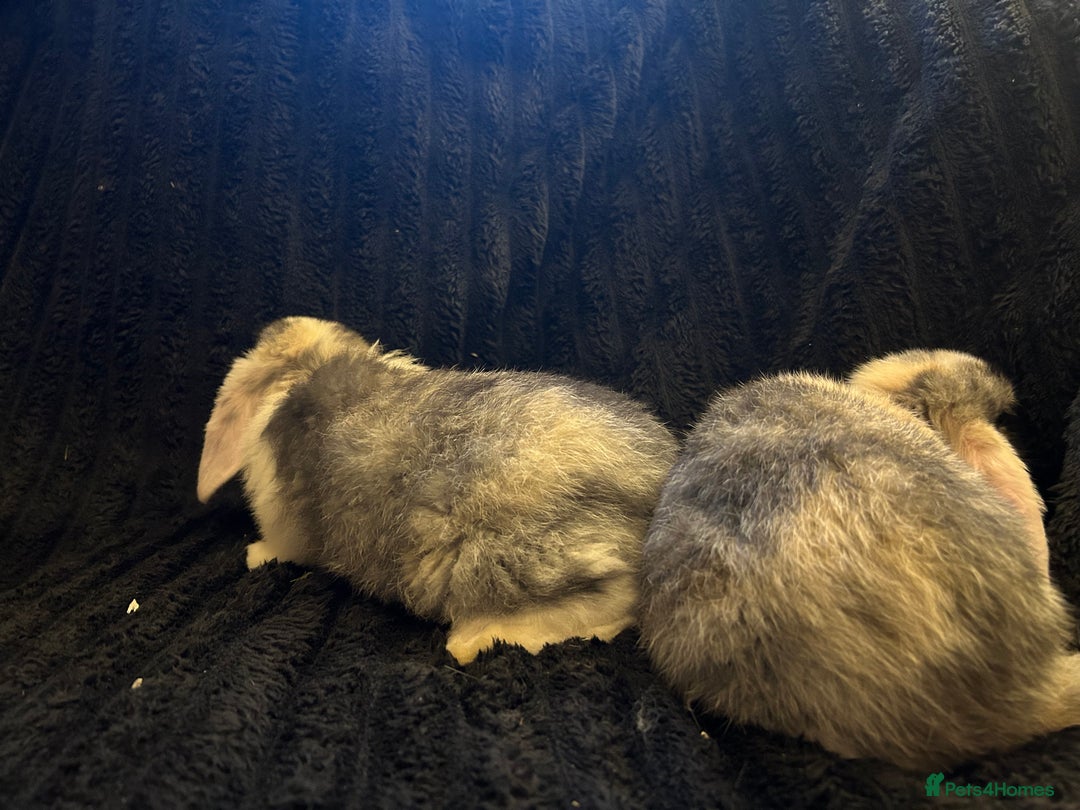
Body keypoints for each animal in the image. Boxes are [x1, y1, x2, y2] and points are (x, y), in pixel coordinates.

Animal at [198, 316, 678, 665]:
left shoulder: (290, 534)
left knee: (617, 597)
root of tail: (655, 482)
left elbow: (282, 547)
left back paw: (471, 640)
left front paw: (254, 554)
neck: (310, 366)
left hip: (500, 560)